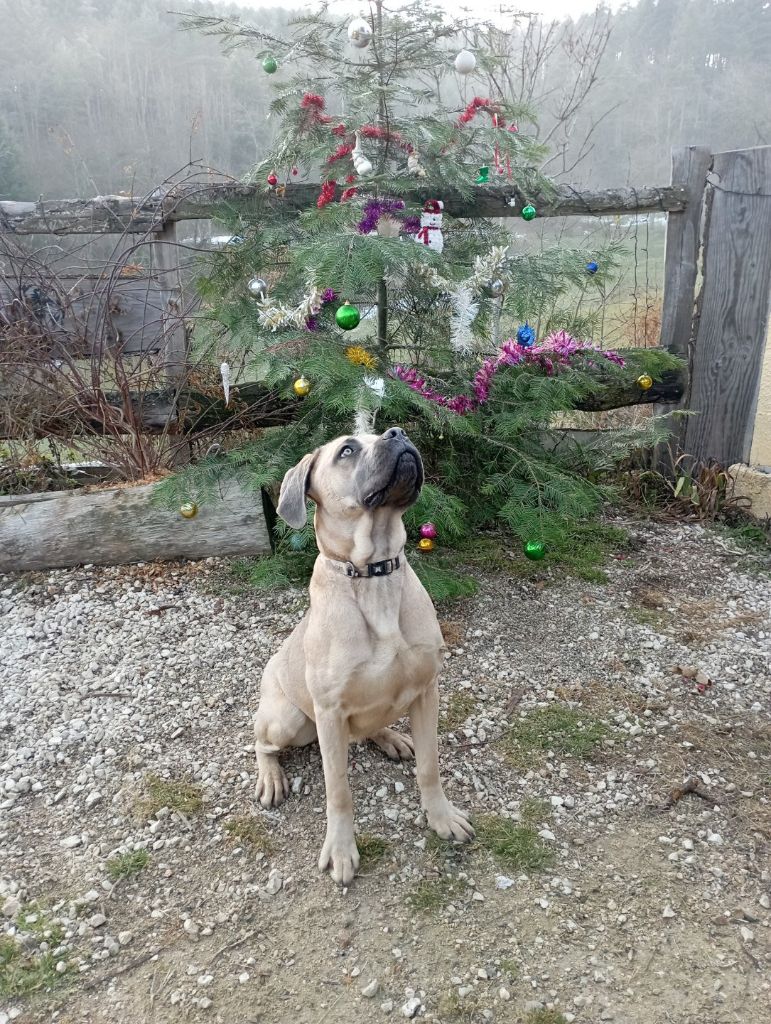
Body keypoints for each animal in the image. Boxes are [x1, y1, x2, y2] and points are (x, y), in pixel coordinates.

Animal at [252, 428, 473, 884]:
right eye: (347, 450)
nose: (399, 432)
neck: (374, 573)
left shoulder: (427, 691)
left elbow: (430, 765)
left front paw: (441, 818)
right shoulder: (330, 713)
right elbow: (338, 791)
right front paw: (340, 850)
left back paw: (390, 737)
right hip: (289, 720)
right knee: (260, 741)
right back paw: (271, 777)